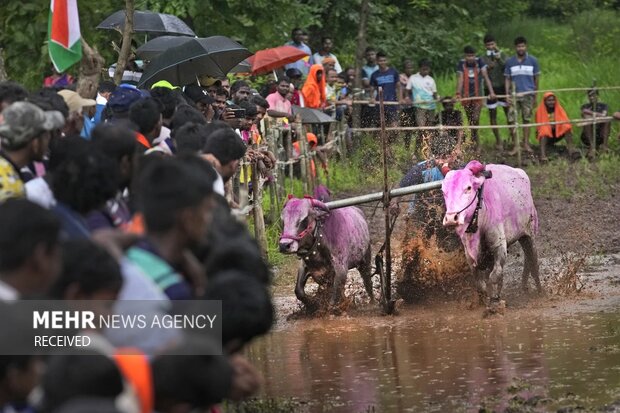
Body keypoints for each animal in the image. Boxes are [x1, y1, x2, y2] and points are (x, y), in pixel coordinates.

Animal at [440, 159, 544, 308]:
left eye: (468, 188)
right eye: (444, 191)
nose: (450, 218)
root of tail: (521, 174)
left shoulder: (499, 247)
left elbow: (495, 276)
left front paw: (495, 300)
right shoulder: (470, 255)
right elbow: (479, 283)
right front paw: (483, 301)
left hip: (529, 235)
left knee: (533, 263)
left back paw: (540, 292)